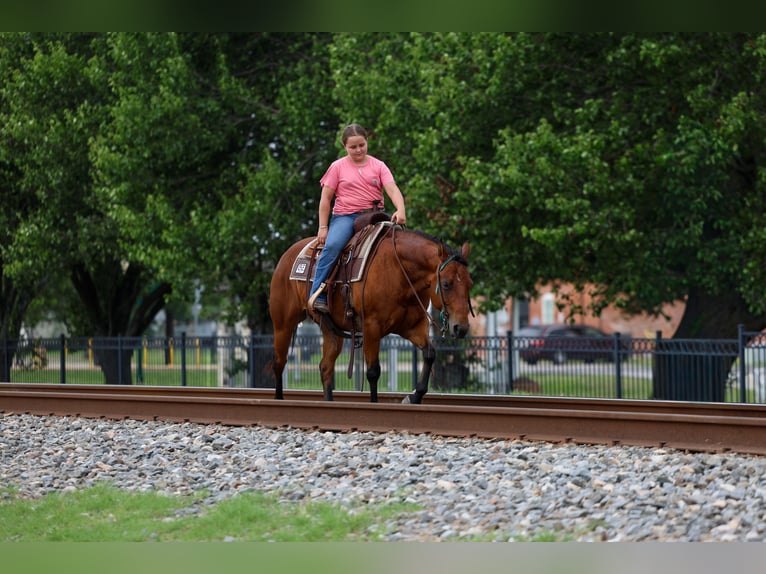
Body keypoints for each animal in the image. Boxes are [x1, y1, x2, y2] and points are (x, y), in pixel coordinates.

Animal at [269, 224, 474, 404]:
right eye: (446, 284)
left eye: (469, 283)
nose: (461, 328)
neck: (399, 271)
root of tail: (287, 256)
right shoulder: (371, 327)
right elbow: (373, 371)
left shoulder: (413, 326)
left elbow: (430, 353)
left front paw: (413, 397)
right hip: (283, 325)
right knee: (279, 363)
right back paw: (277, 399)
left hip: (331, 331)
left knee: (325, 367)